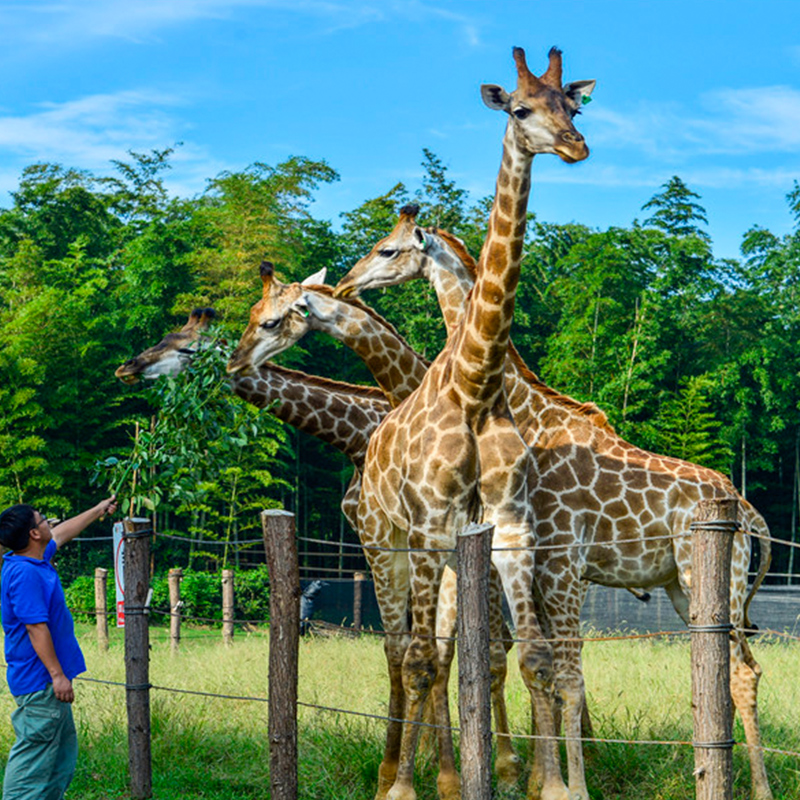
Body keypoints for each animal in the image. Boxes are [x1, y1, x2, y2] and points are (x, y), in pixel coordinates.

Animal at [234, 45, 592, 800]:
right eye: (521, 108)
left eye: (572, 106)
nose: (575, 146)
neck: (475, 385)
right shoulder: (429, 526)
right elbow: (433, 656)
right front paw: (428, 783)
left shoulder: (508, 527)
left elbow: (531, 656)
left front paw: (543, 783)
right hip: (387, 541)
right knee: (405, 649)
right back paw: (393, 771)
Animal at [334, 208, 772, 800]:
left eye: (386, 249)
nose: (346, 283)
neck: (526, 408)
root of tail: (748, 513)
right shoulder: (539, 562)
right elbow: (539, 667)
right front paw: (543, 777)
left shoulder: (559, 560)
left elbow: (562, 673)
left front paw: (562, 784)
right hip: (684, 587)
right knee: (732, 668)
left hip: (711, 578)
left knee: (739, 670)